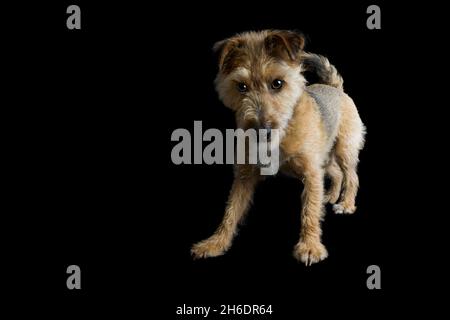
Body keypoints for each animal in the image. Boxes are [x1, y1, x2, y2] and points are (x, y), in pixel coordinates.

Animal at [191, 30, 366, 264]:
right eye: (241, 86)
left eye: (278, 83)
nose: (262, 130)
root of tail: (334, 87)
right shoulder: (244, 176)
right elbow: (231, 211)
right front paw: (215, 243)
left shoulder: (311, 172)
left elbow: (310, 210)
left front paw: (310, 247)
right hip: (325, 157)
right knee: (336, 173)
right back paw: (329, 196)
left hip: (343, 149)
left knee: (350, 175)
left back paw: (346, 204)